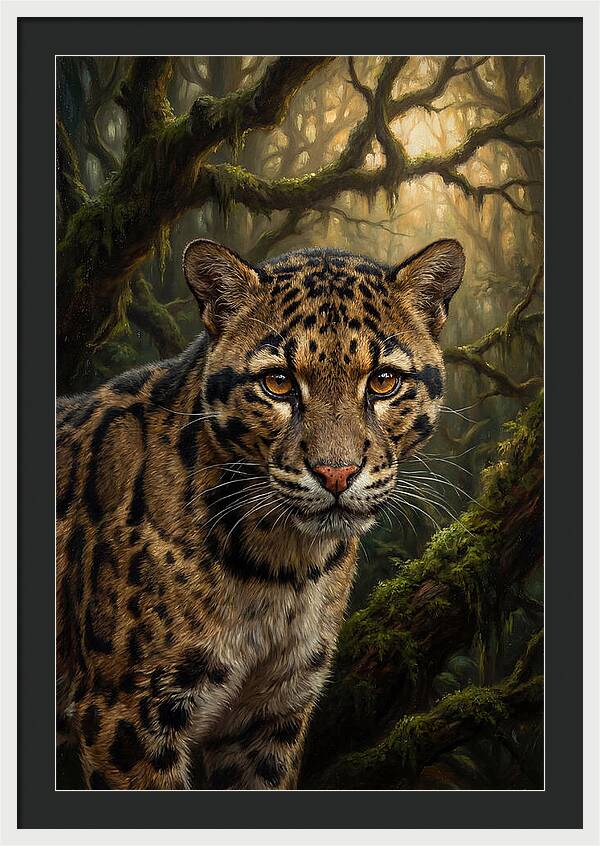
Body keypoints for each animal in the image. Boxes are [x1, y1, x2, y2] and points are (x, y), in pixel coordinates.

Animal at [56, 237, 465, 790]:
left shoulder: (271, 713)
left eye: (383, 382)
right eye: (278, 383)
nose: (336, 473)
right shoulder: (127, 713)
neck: (282, 566)